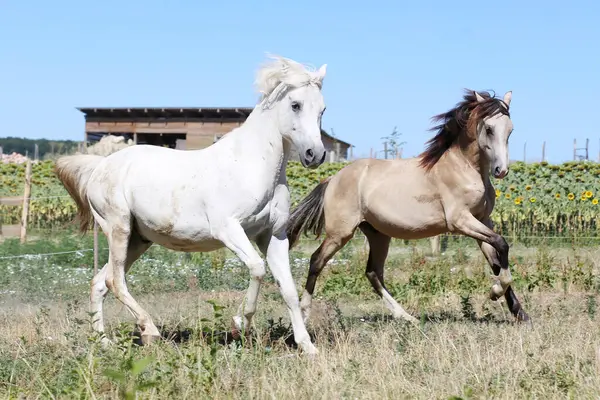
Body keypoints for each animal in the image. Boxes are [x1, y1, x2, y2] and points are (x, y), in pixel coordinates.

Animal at [55, 54, 328, 354]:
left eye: (322, 109)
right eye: (295, 104)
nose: (315, 155)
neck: (251, 165)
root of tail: (99, 167)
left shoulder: (273, 235)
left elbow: (288, 289)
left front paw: (308, 347)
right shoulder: (228, 229)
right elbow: (257, 268)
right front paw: (239, 324)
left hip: (138, 240)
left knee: (99, 282)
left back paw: (104, 343)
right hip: (119, 228)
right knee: (114, 280)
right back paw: (150, 331)